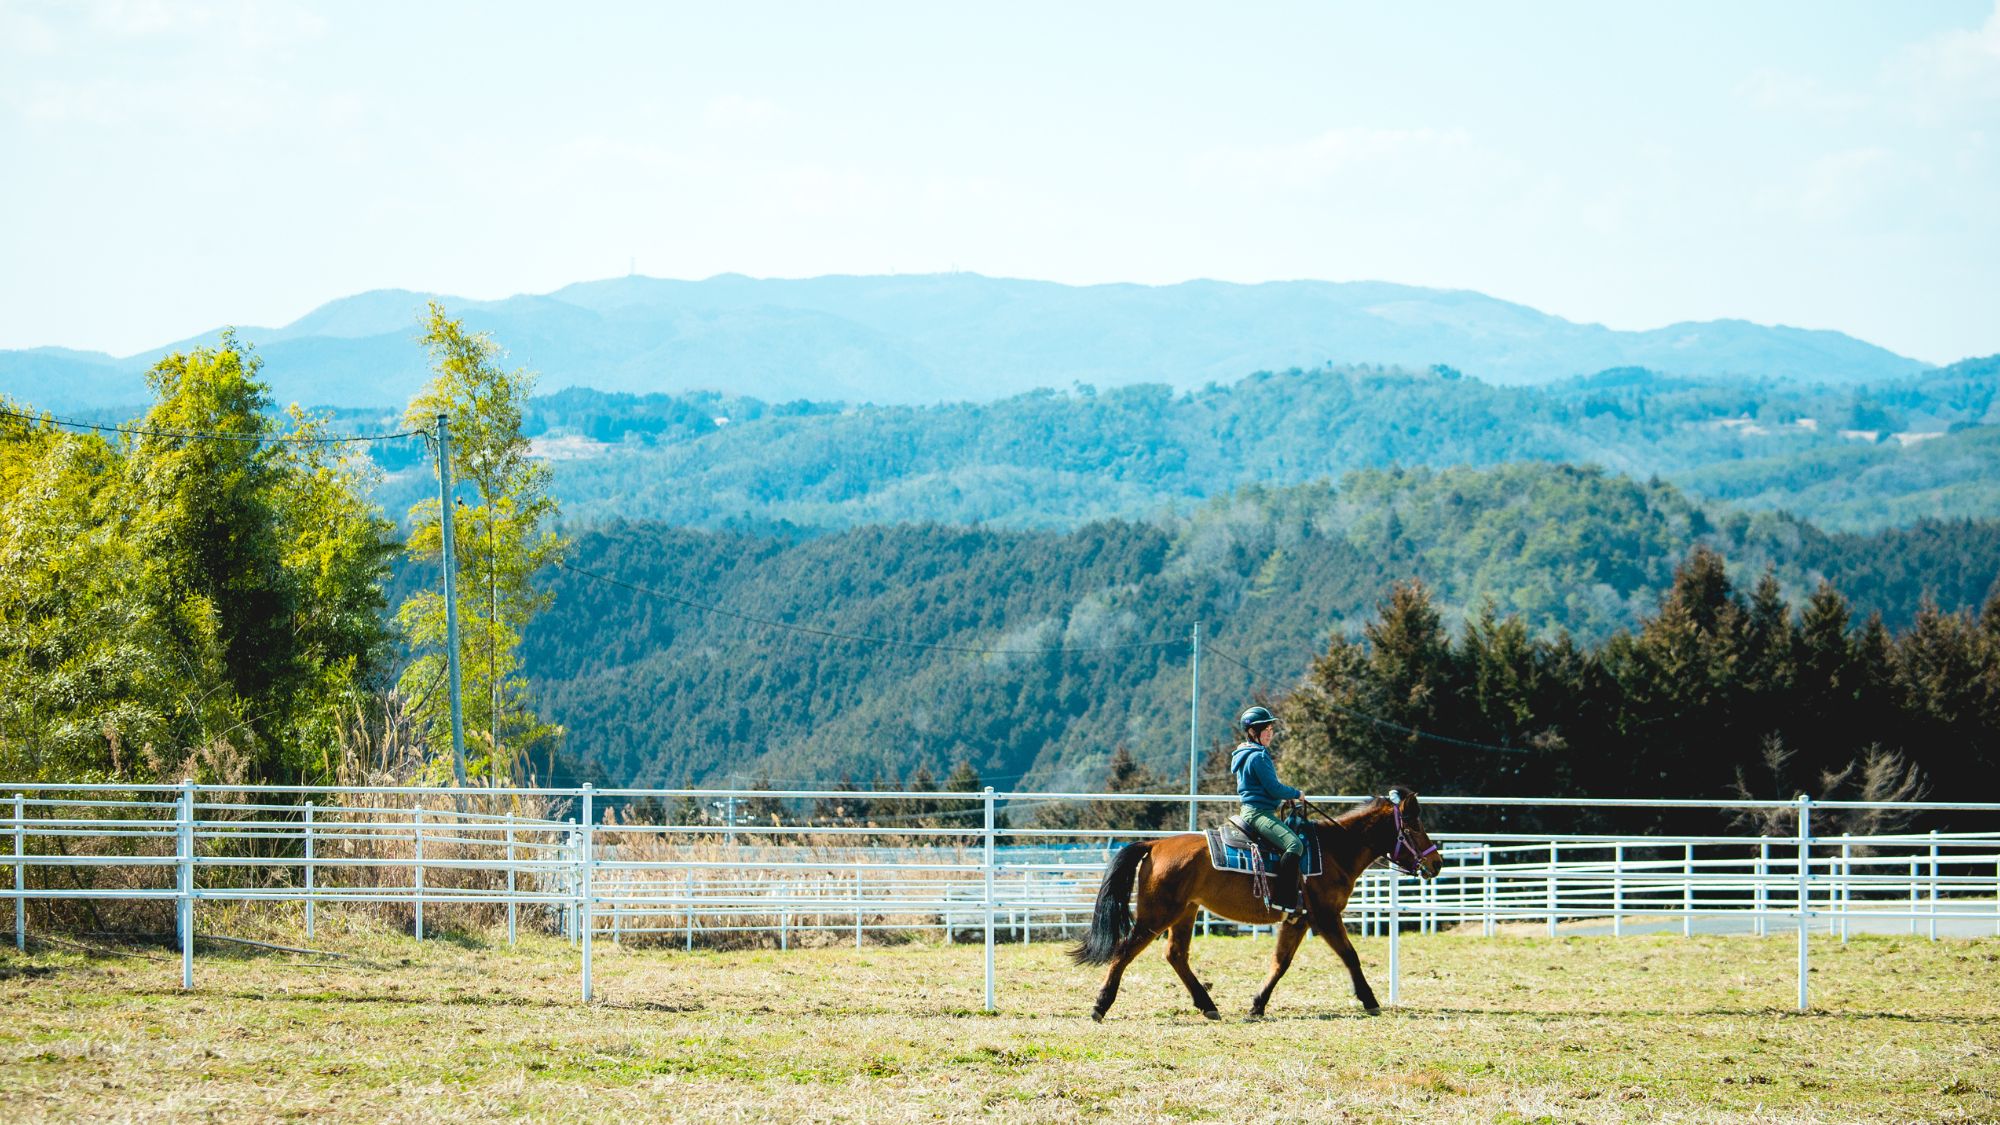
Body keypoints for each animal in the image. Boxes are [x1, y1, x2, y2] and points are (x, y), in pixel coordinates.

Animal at [1069, 788, 1443, 1021]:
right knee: (1124, 951)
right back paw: (1100, 1005)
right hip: (1157, 914)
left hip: (1185, 913)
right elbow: (1350, 956)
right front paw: (1370, 1000)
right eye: (1414, 826)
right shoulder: (1325, 916)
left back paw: (1208, 1005)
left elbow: (1280, 963)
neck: (1333, 850)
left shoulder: (1298, 920)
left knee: (1176, 955)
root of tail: (1154, 845)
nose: (1436, 863)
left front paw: (1257, 1004)